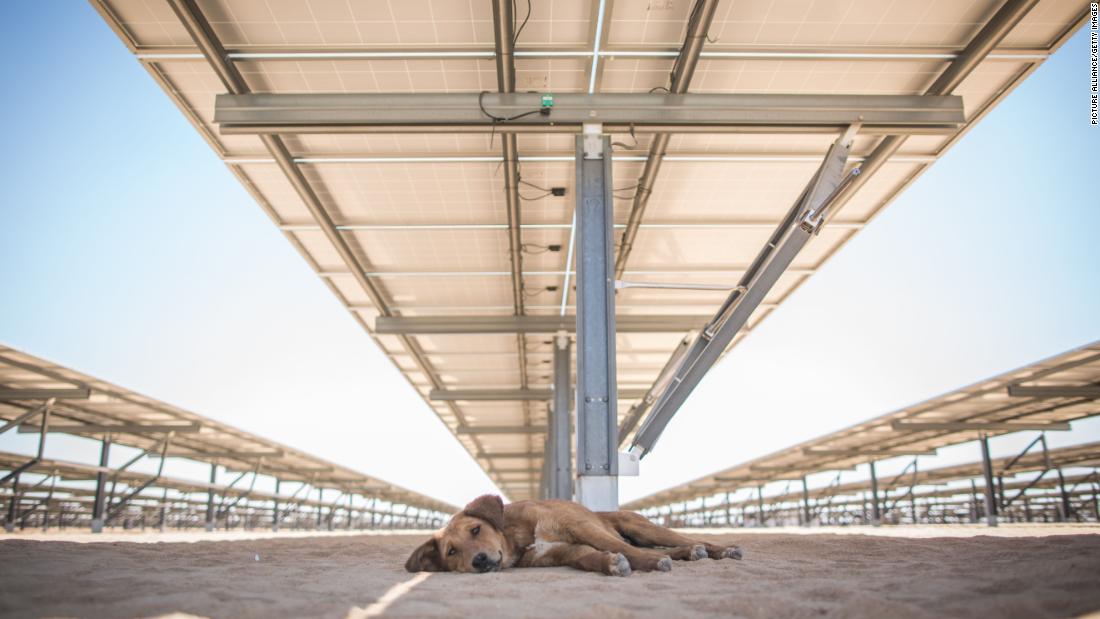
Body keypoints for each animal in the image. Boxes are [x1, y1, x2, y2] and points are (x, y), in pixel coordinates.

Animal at [404, 496, 739, 580]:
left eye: (476, 530)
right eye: (451, 552)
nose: (479, 560)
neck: (518, 537)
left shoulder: (581, 529)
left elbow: (614, 545)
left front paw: (651, 562)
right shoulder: (565, 552)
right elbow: (591, 557)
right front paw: (611, 564)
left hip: (642, 527)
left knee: (682, 538)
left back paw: (722, 550)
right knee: (681, 544)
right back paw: (691, 552)